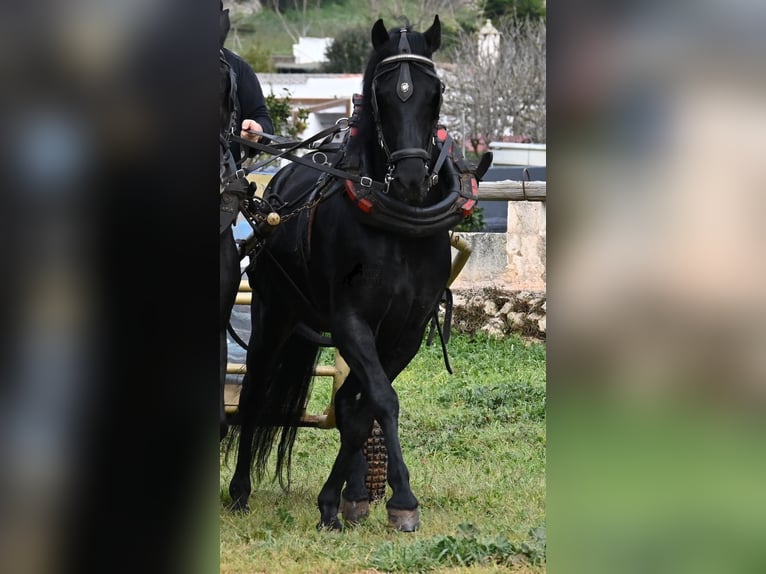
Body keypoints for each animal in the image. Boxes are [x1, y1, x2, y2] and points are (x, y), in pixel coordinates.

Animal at [229, 15, 483, 532]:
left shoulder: (406, 330)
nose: (411, 178)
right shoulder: (351, 321)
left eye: (437, 91)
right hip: (274, 315)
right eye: (381, 93)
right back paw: (240, 489)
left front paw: (343, 500)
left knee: (346, 402)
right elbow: (382, 400)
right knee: (254, 394)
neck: (397, 223)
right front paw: (403, 499)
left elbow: (363, 408)